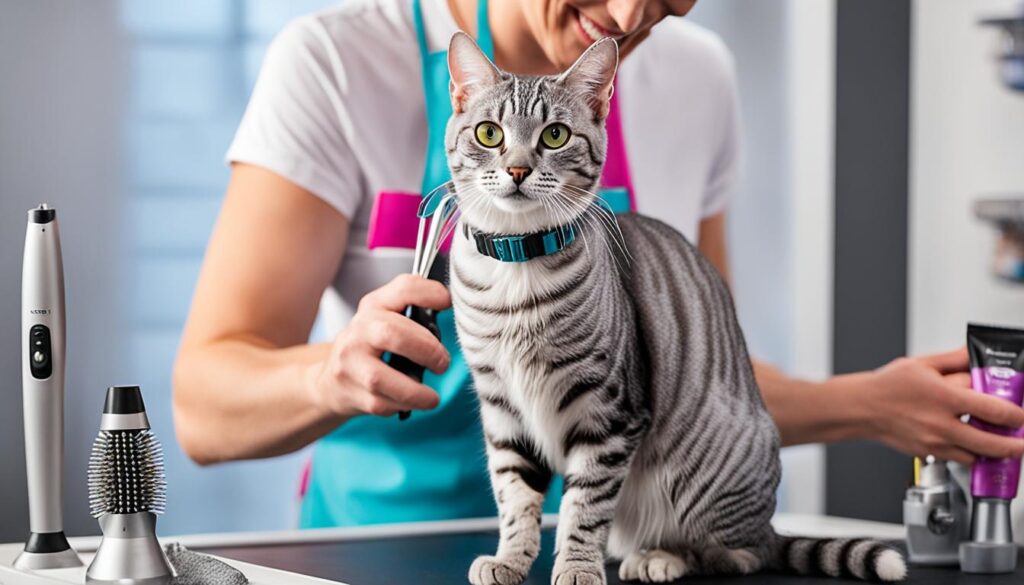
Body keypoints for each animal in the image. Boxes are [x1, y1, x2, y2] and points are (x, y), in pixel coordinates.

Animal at [444, 32, 909, 585]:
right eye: (489, 133)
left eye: (555, 135)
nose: (517, 169)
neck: (517, 264)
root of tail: (770, 525)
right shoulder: (502, 407)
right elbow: (515, 497)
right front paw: (511, 559)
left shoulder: (610, 412)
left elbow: (584, 506)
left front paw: (577, 566)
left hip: (701, 480)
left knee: (735, 553)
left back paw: (660, 557)